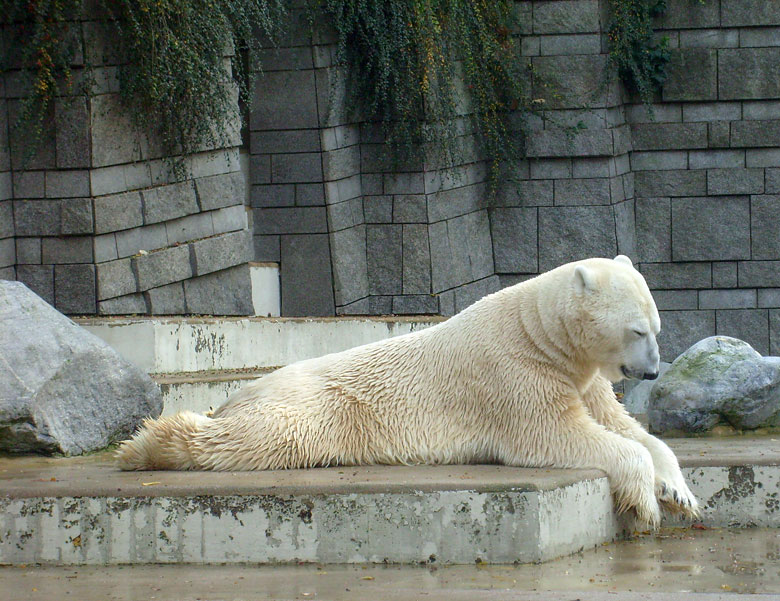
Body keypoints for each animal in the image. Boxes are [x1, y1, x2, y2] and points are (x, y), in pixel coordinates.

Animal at [119, 255, 696, 524]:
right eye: (637, 331)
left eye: (657, 326)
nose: (651, 373)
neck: (540, 333)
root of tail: (241, 392)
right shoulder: (514, 374)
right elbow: (556, 433)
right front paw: (645, 503)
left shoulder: (584, 377)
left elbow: (627, 427)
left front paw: (679, 491)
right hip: (321, 406)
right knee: (267, 436)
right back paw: (144, 446)